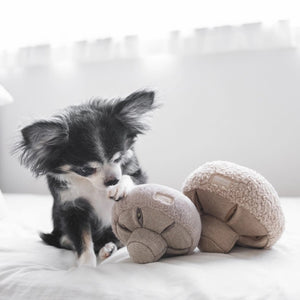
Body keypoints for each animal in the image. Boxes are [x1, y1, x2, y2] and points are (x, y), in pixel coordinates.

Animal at [15, 89, 157, 268]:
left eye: (118, 158)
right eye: (86, 170)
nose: (112, 181)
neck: (94, 187)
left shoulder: (139, 177)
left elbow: (129, 177)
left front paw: (119, 187)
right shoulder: (73, 209)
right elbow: (83, 242)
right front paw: (86, 268)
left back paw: (109, 248)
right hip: (60, 233)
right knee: (68, 240)